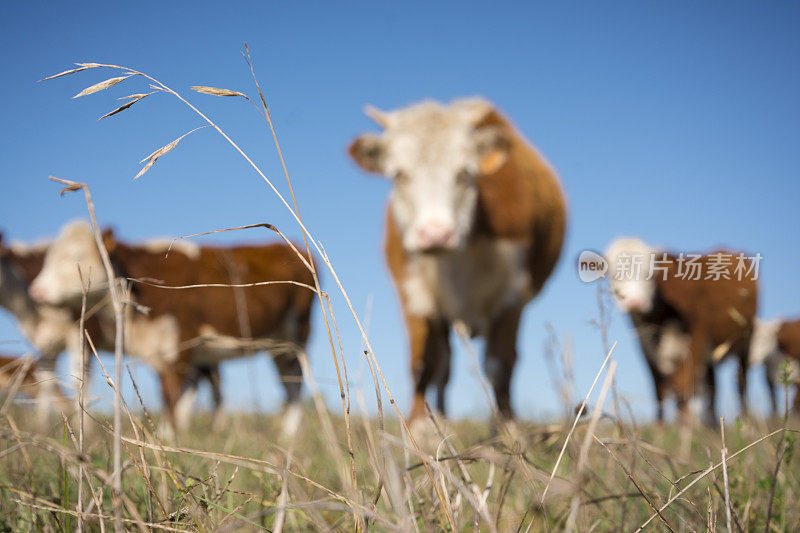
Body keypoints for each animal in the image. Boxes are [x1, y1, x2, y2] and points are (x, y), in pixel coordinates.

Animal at [25, 220, 312, 432]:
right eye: (48, 257)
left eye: (76, 255)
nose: (36, 290)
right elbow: (169, 394)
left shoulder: (180, 344)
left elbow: (172, 395)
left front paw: (169, 437)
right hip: (278, 345)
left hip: (295, 336)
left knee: (295, 383)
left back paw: (290, 434)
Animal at [346, 97, 564, 424]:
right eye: (399, 175)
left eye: (464, 173)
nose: (435, 234)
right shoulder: (412, 289)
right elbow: (423, 362)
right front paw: (420, 429)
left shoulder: (512, 291)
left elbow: (500, 365)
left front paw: (505, 429)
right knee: (443, 367)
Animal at [604, 237, 760, 424]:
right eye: (614, 275)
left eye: (650, 273)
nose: (634, 302)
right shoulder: (647, 350)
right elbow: (659, 392)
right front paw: (660, 428)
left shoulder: (694, 342)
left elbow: (682, 389)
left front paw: (683, 430)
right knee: (713, 387)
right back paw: (713, 425)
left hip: (745, 339)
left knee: (741, 382)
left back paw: (746, 422)